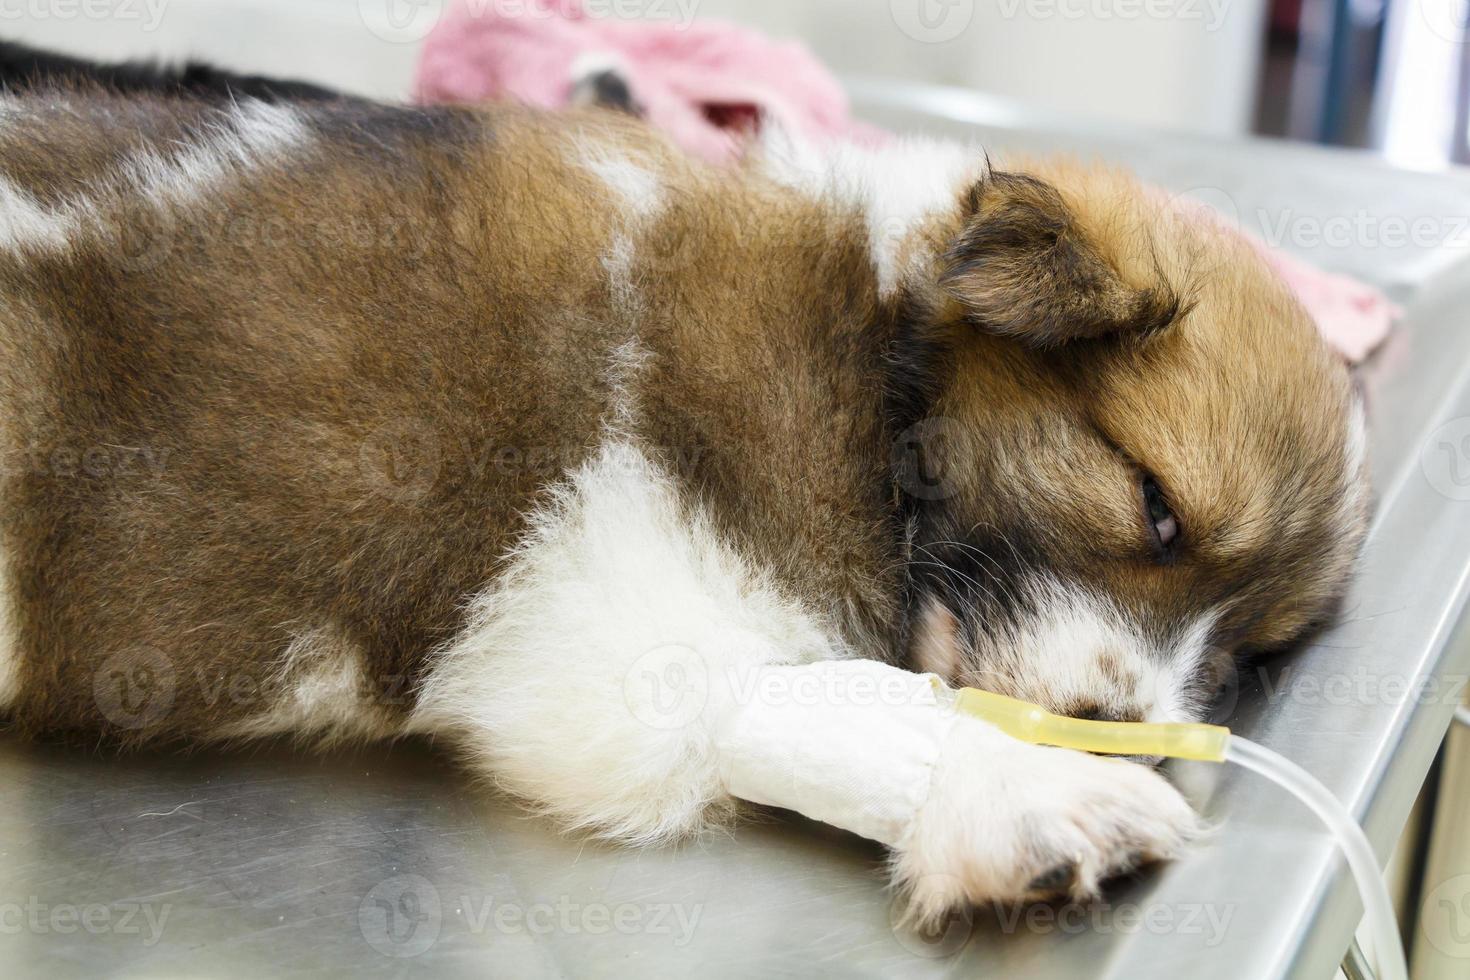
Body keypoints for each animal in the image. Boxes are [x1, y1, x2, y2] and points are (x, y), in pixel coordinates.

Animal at [0, 89, 1364, 928]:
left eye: (1246, 655)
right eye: (1155, 505)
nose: (1119, 729)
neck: (869, 365)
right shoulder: (587, 617)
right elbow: (822, 693)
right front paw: (1009, 783)